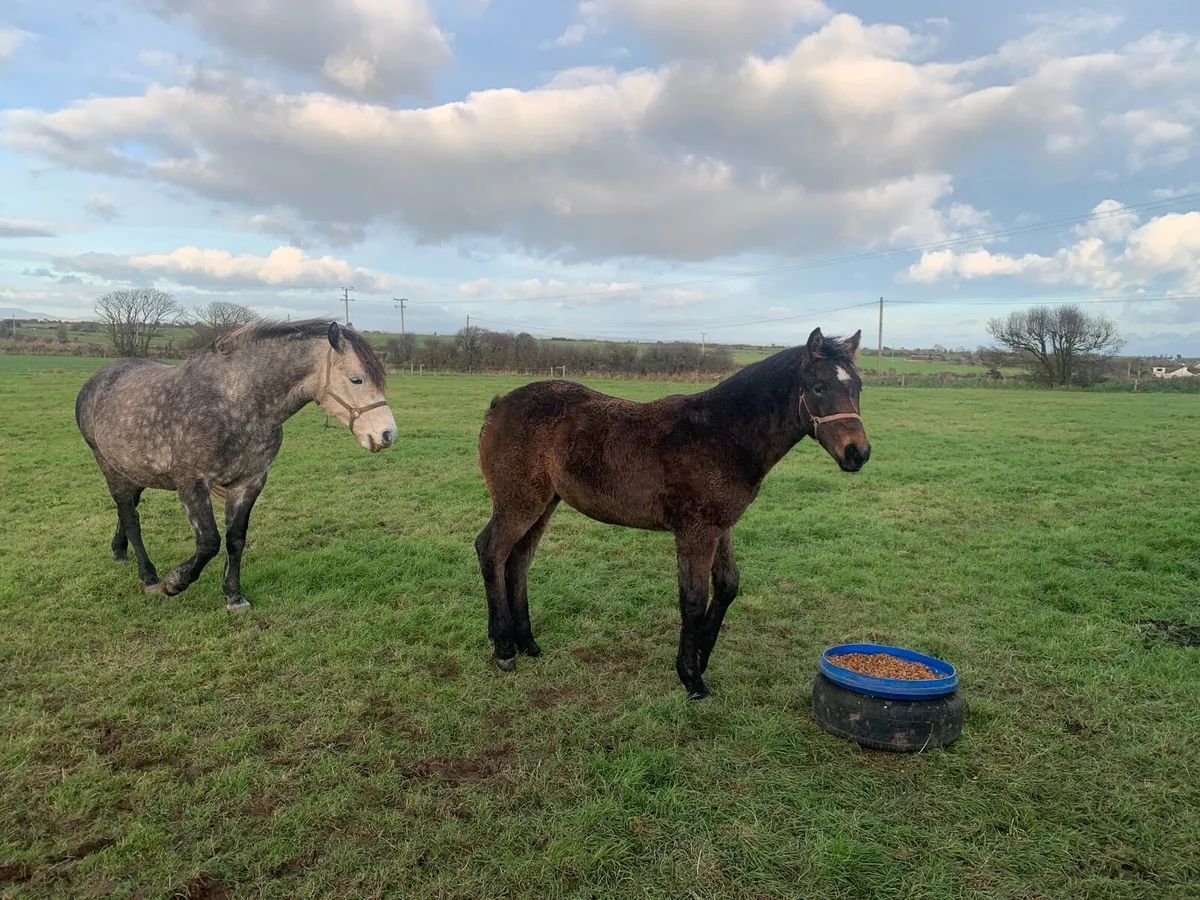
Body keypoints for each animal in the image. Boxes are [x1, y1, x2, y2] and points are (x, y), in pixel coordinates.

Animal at [75, 318, 396, 612]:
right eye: (356, 379)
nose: (387, 434)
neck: (235, 402)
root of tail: (97, 380)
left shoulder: (249, 482)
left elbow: (235, 539)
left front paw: (233, 596)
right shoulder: (192, 483)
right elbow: (209, 542)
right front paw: (175, 582)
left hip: (133, 470)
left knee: (126, 510)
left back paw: (119, 552)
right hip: (110, 468)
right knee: (131, 518)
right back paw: (150, 577)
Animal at [474, 326, 870, 699]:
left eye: (858, 386)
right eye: (818, 387)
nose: (857, 453)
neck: (722, 434)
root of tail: (499, 404)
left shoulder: (721, 526)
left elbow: (727, 584)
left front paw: (703, 656)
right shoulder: (695, 531)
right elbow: (693, 599)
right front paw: (691, 677)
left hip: (543, 504)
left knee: (518, 562)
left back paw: (526, 642)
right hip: (519, 503)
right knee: (491, 551)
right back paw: (504, 648)